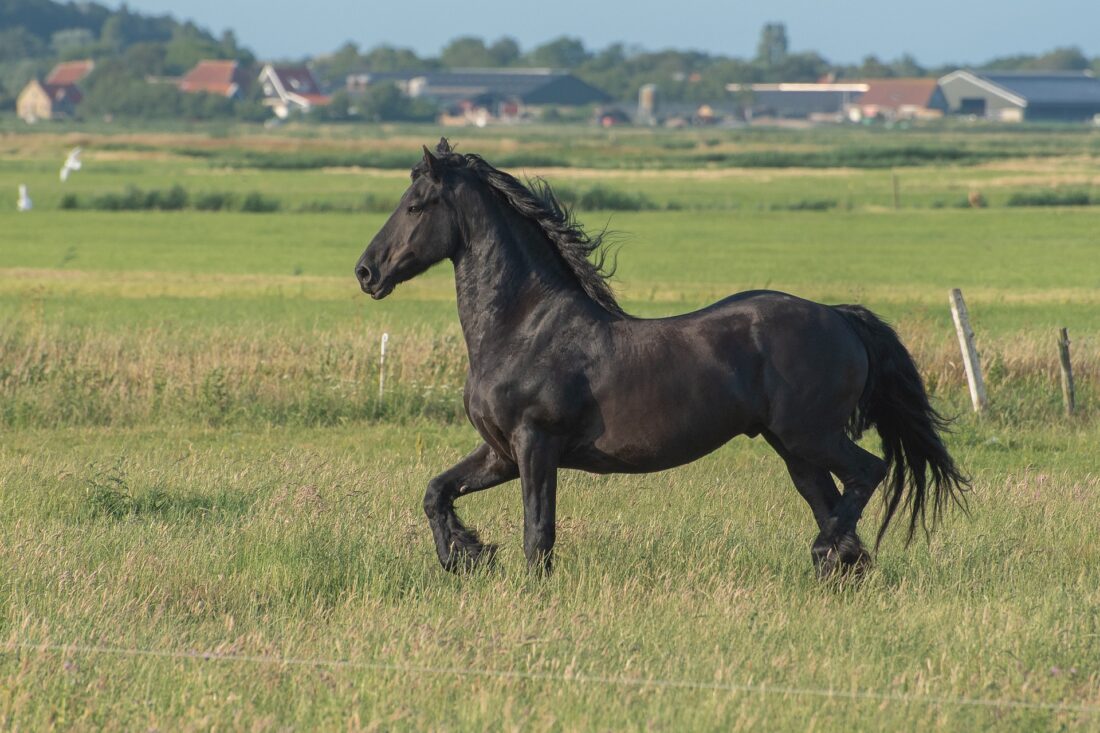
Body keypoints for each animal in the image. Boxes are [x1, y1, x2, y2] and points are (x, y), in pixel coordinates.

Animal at [354, 139, 963, 576]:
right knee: (833, 501)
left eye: (415, 206)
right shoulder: (501, 452)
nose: (366, 272)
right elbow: (436, 492)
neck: (522, 327)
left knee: (868, 473)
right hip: (793, 448)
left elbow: (538, 534)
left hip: (810, 435)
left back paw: (827, 552)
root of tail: (840, 317)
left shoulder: (535, 445)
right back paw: (841, 565)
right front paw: (464, 555)